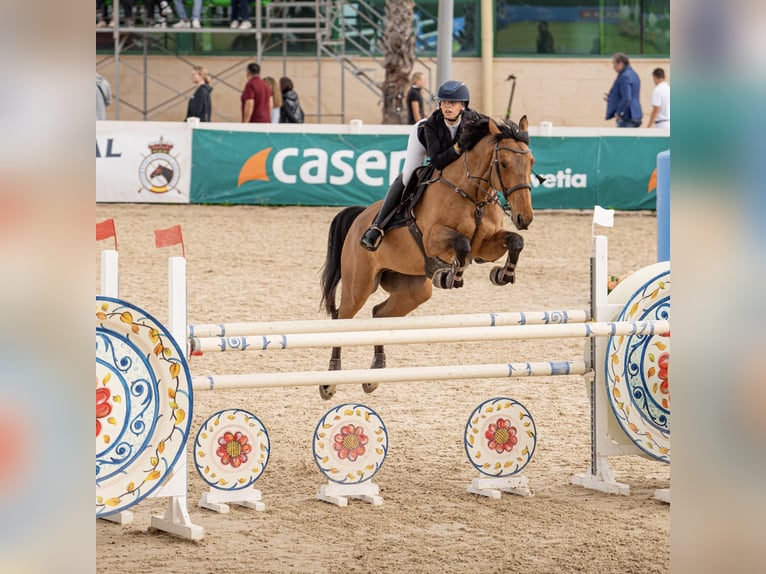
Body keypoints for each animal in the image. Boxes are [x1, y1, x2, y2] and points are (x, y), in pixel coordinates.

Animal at [318, 114, 536, 398]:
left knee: (379, 314)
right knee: (341, 319)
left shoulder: (486, 246)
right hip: (359, 284)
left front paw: (502, 274)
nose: (524, 218)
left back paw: (374, 373)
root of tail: (359, 218)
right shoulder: (435, 238)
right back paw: (329, 381)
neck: (472, 194)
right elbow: (462, 244)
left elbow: (514, 241)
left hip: (414, 290)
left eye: (531, 162)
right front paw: (451, 275)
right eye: (505, 163)